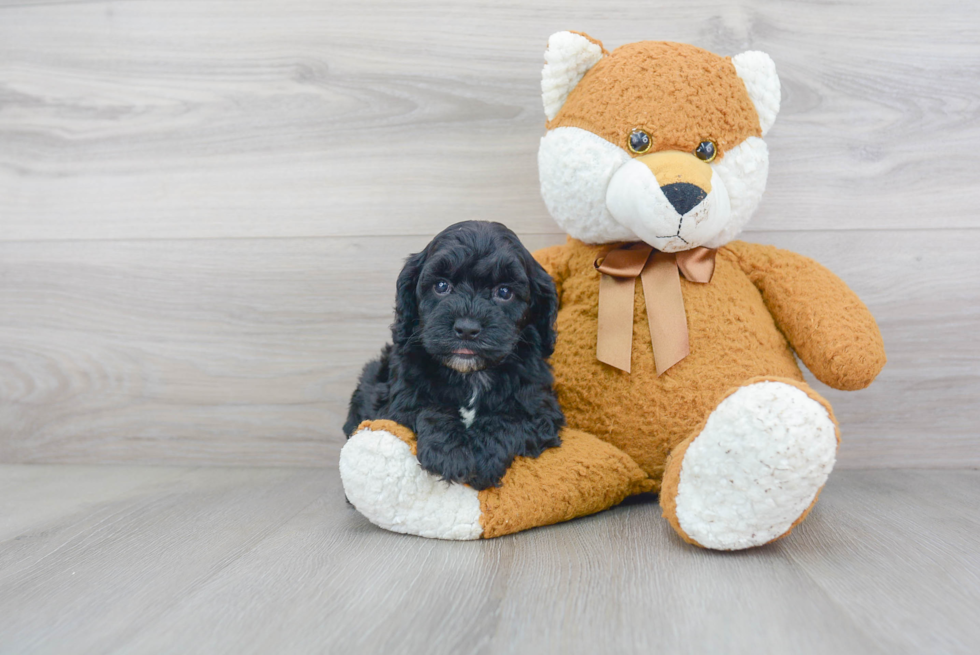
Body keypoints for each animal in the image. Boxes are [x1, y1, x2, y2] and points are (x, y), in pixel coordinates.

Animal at [344, 222, 564, 492]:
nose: (467, 328)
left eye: (504, 292)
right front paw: (450, 454)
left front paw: (483, 456)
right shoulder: (399, 400)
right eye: (441, 286)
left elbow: (509, 418)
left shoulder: (540, 406)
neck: (470, 375)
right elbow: (428, 408)